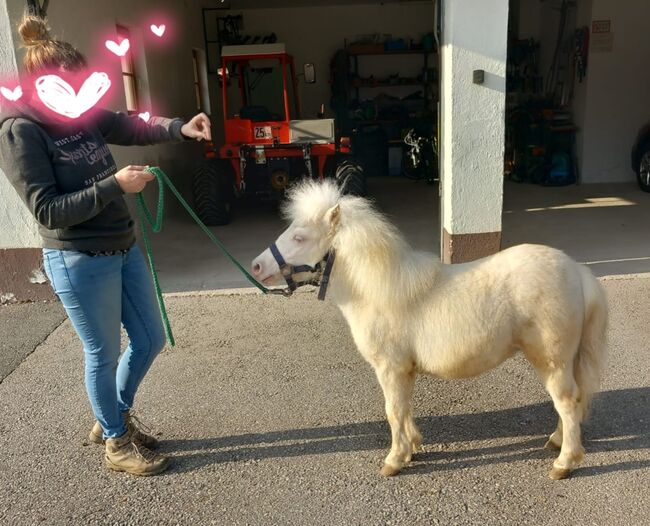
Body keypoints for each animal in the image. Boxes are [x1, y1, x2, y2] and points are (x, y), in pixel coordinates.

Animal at [251, 182, 604, 482]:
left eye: (299, 237)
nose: (256, 266)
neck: (380, 291)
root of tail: (577, 271)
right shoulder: (403, 371)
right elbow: (403, 408)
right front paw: (412, 449)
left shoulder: (389, 368)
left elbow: (393, 411)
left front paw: (394, 460)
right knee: (571, 401)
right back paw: (556, 441)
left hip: (552, 361)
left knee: (567, 402)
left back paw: (564, 463)